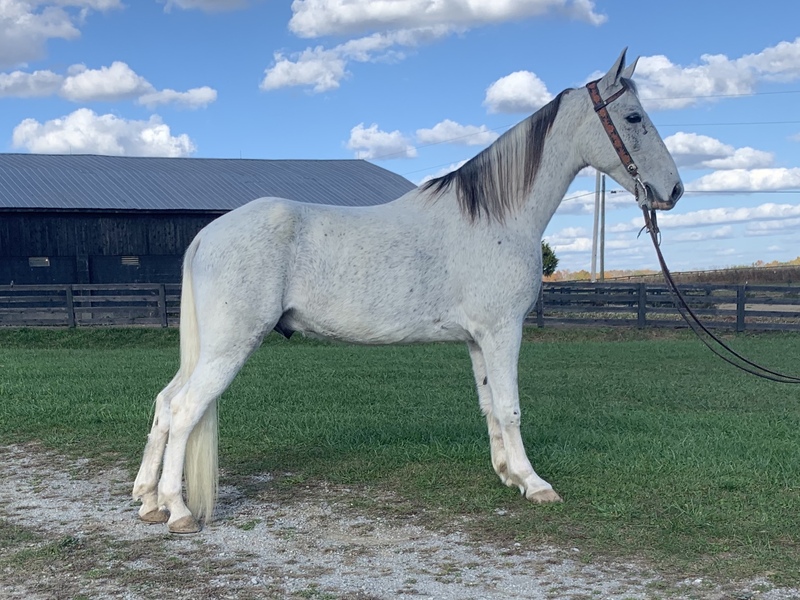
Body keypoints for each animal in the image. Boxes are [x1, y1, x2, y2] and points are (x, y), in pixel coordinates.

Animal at [132, 49, 683, 533]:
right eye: (633, 117)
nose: (674, 190)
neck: (496, 217)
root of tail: (208, 233)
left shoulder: (477, 340)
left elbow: (490, 406)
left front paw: (507, 475)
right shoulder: (503, 331)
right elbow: (510, 408)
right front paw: (534, 483)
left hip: (209, 348)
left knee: (164, 402)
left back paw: (150, 501)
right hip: (230, 344)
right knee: (185, 410)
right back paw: (178, 512)